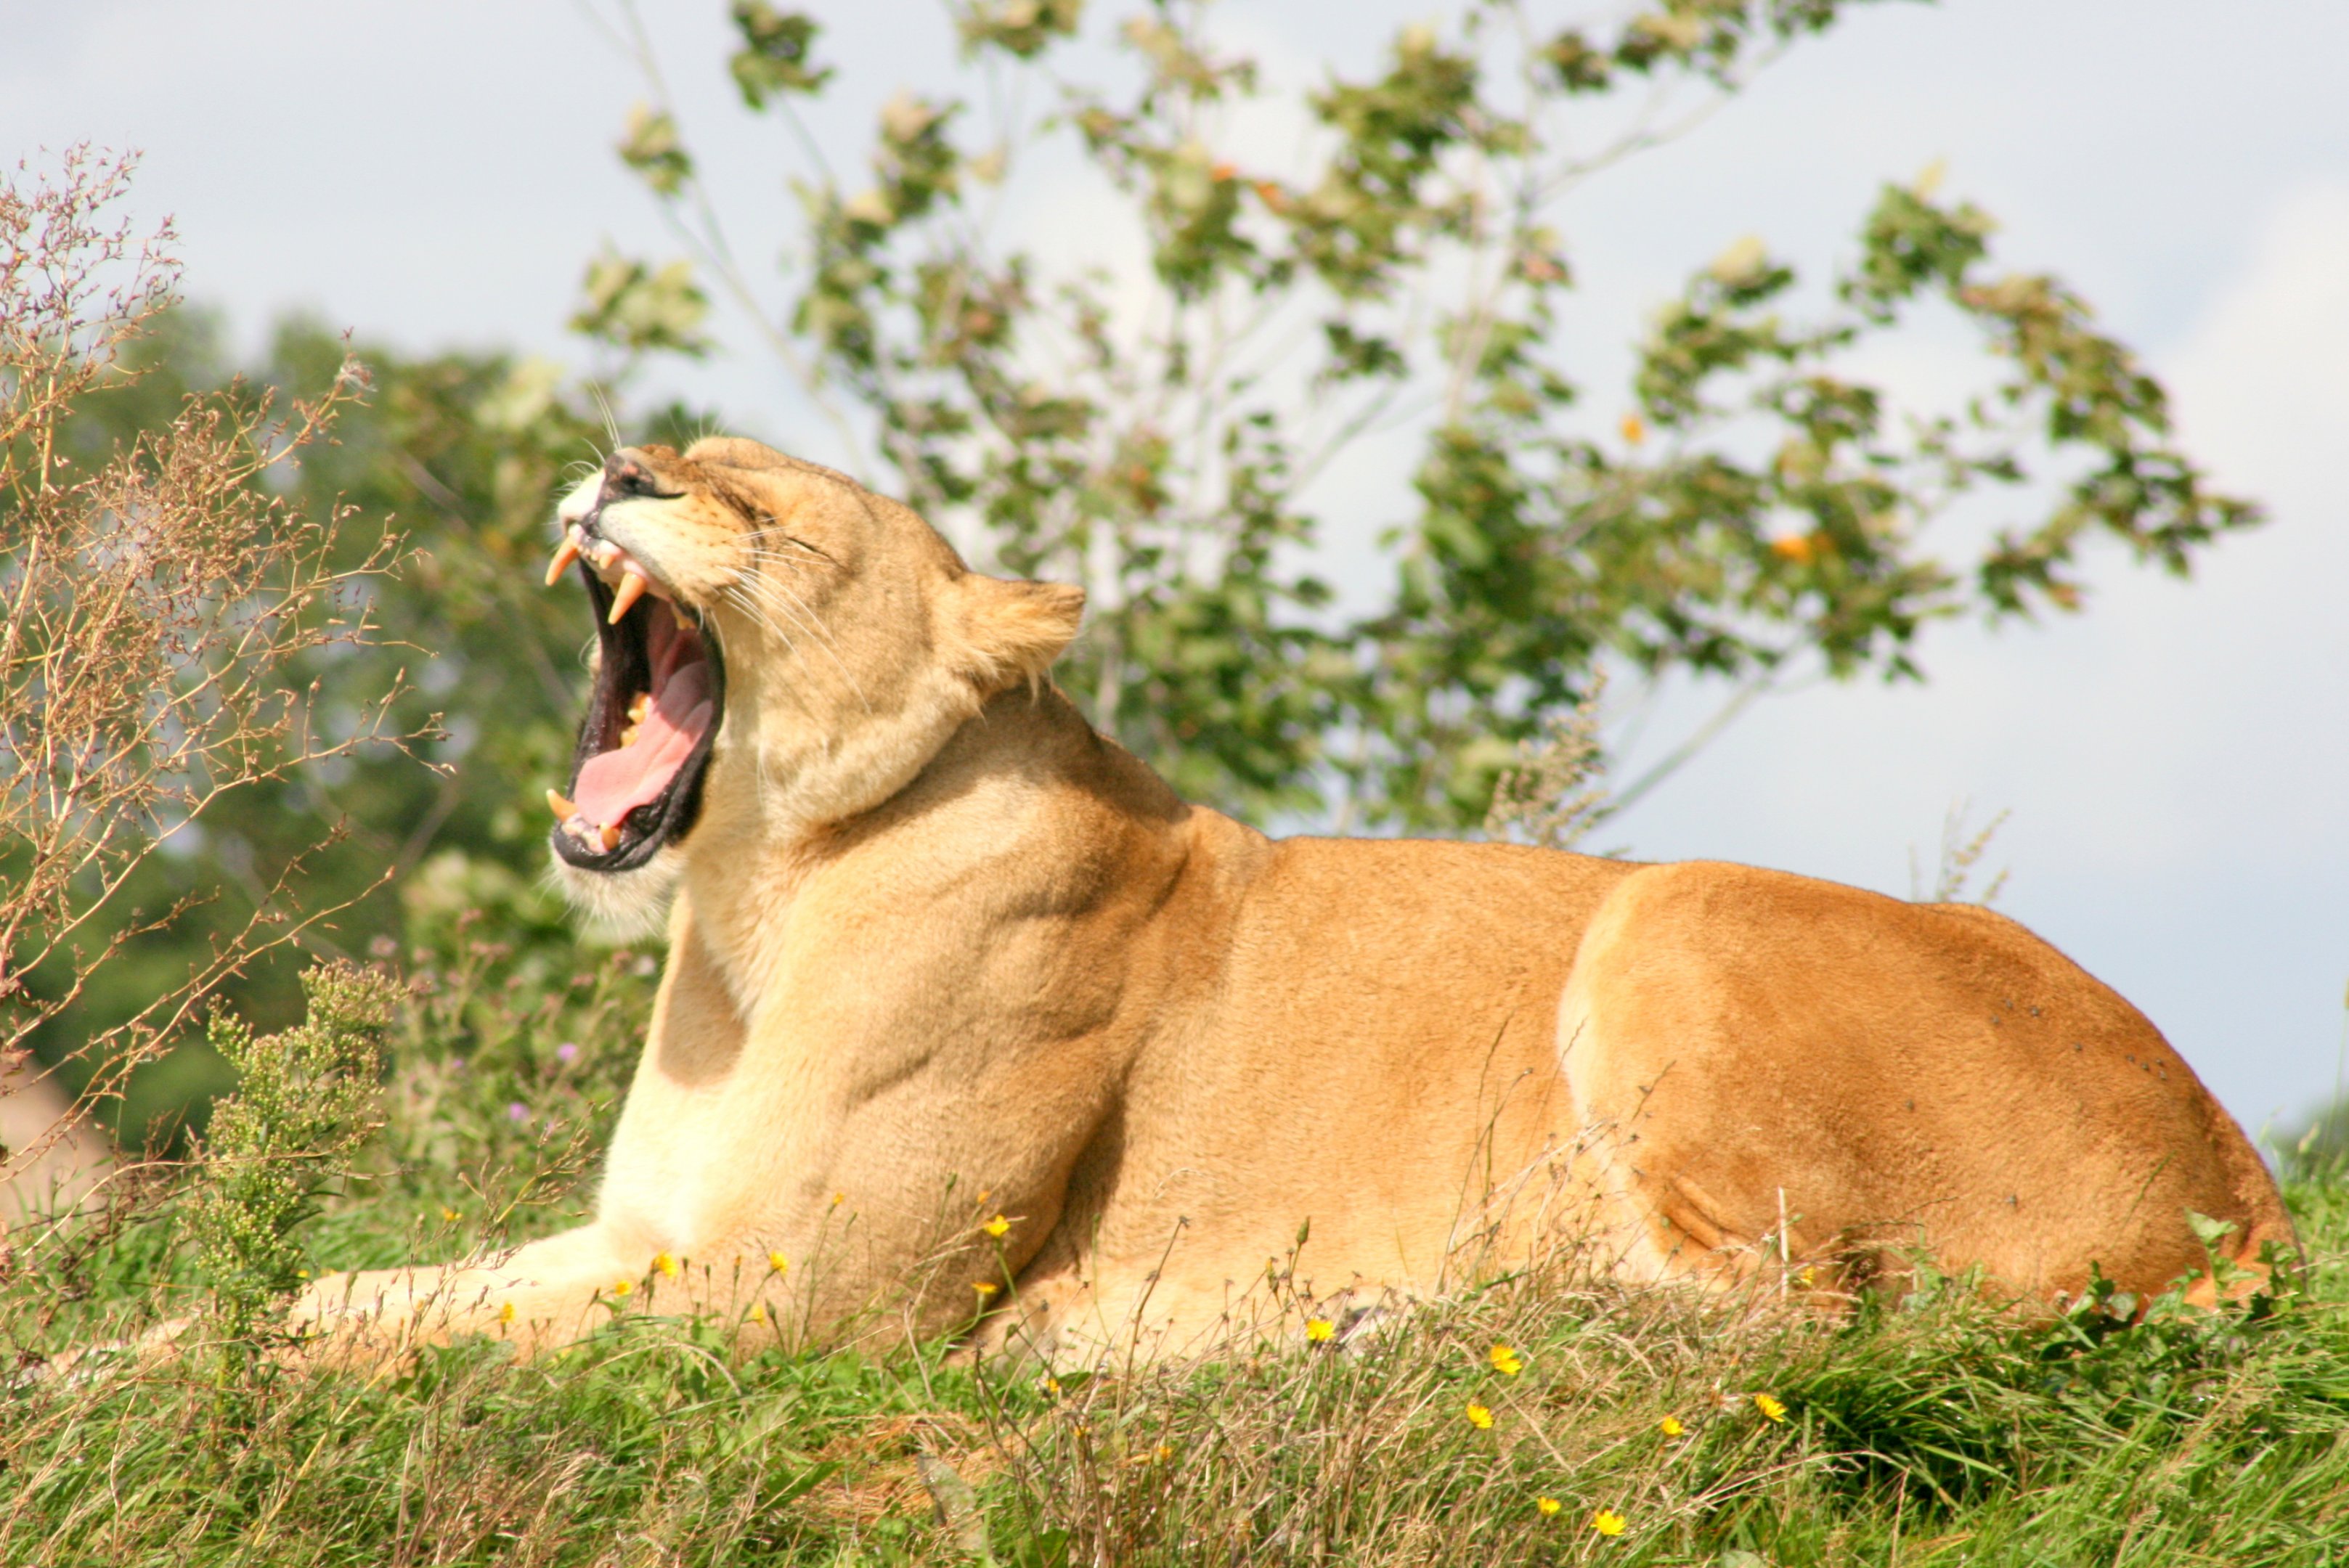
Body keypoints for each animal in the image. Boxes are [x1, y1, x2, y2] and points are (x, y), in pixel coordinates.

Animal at [290, 436, 2291, 1364]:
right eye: (668, 454)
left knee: (1796, 1313)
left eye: (764, 518)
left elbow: (451, 1343)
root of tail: (2245, 1179)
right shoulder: (644, 1236)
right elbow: (366, 1288)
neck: (752, 902)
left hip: (1675, 916)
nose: (621, 472)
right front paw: (223, 1320)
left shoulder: (798, 1295)